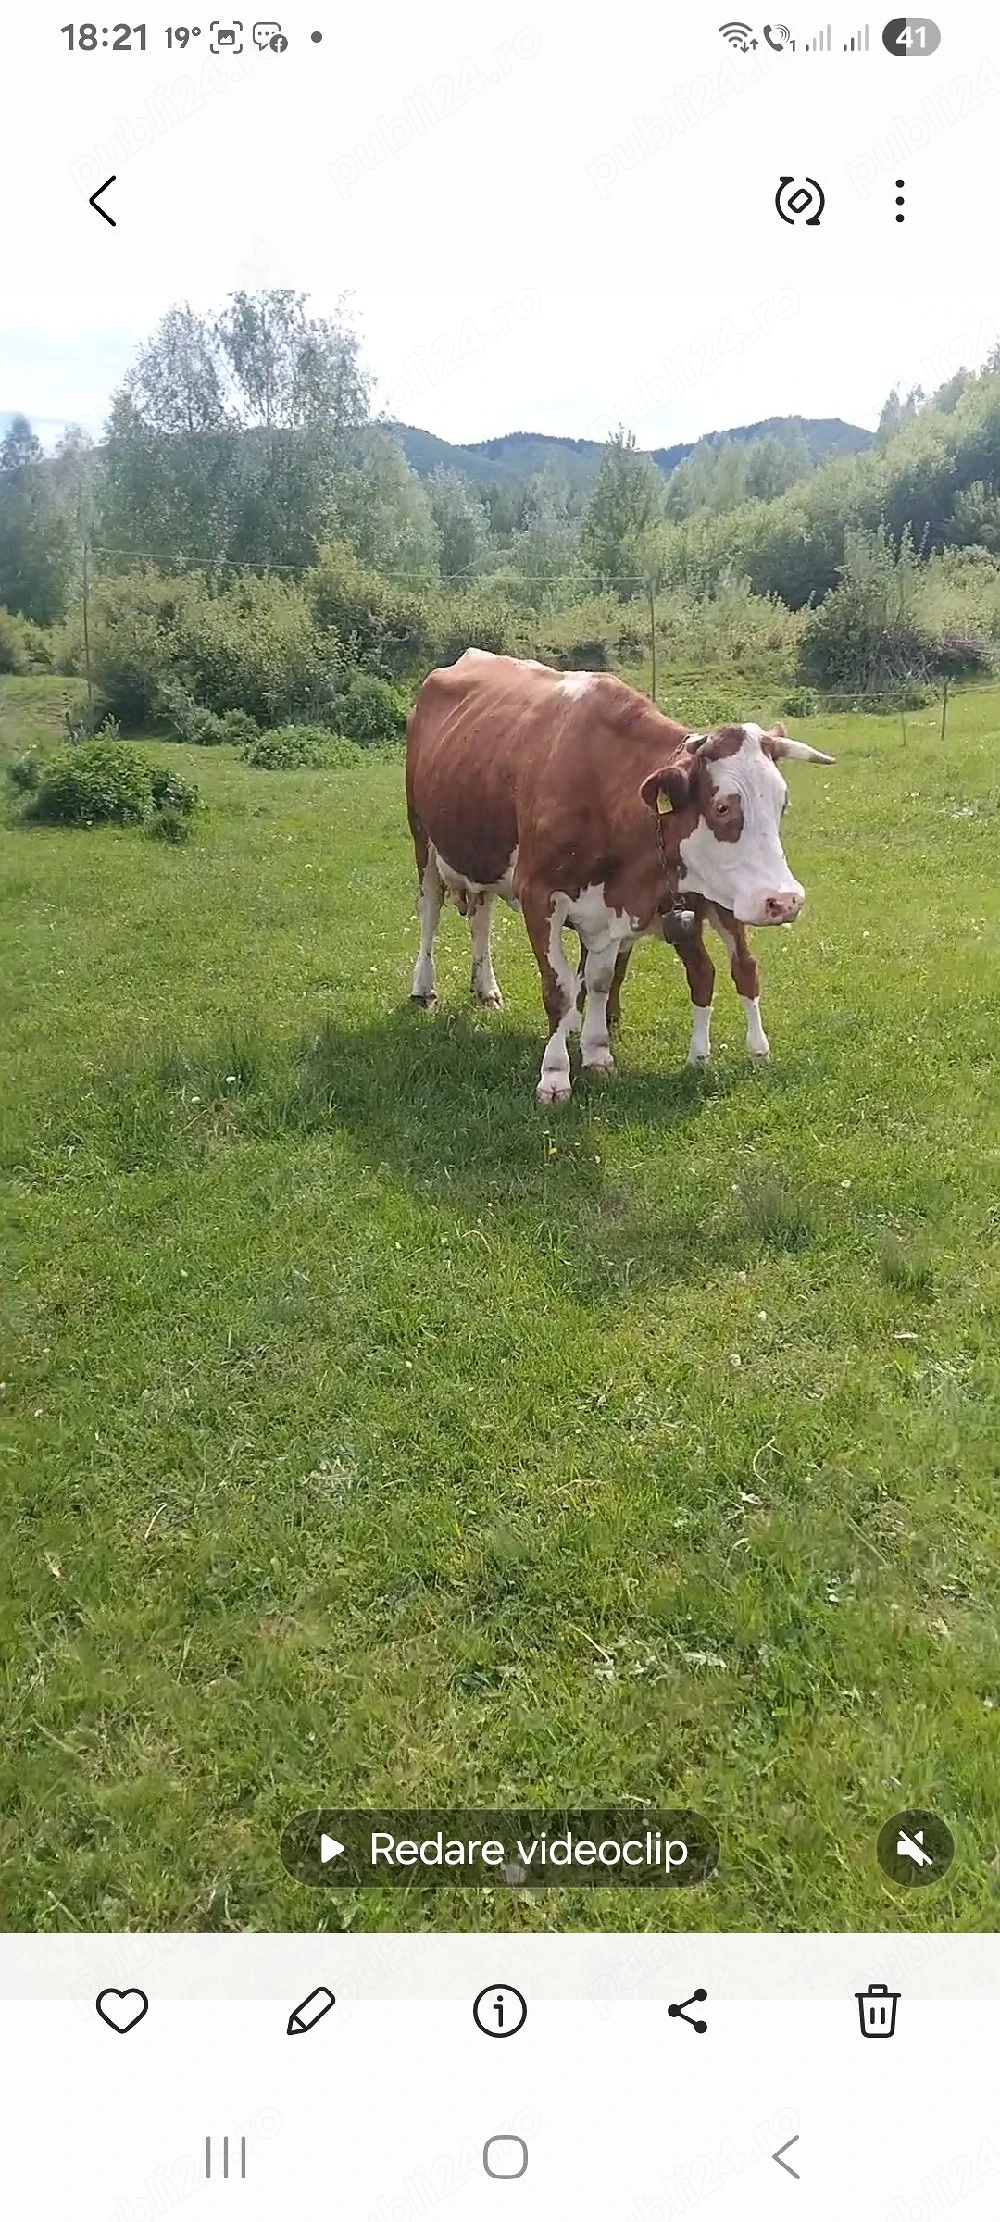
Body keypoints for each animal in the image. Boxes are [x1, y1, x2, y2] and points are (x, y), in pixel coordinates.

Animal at [405, 650, 832, 1105]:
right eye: (721, 807)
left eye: (782, 803)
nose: (785, 900)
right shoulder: (538, 894)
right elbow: (558, 990)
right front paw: (554, 1076)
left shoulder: (610, 907)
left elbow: (598, 978)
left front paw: (596, 1054)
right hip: (423, 839)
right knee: (429, 913)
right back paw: (423, 988)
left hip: (479, 854)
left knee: (481, 920)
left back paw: (486, 988)